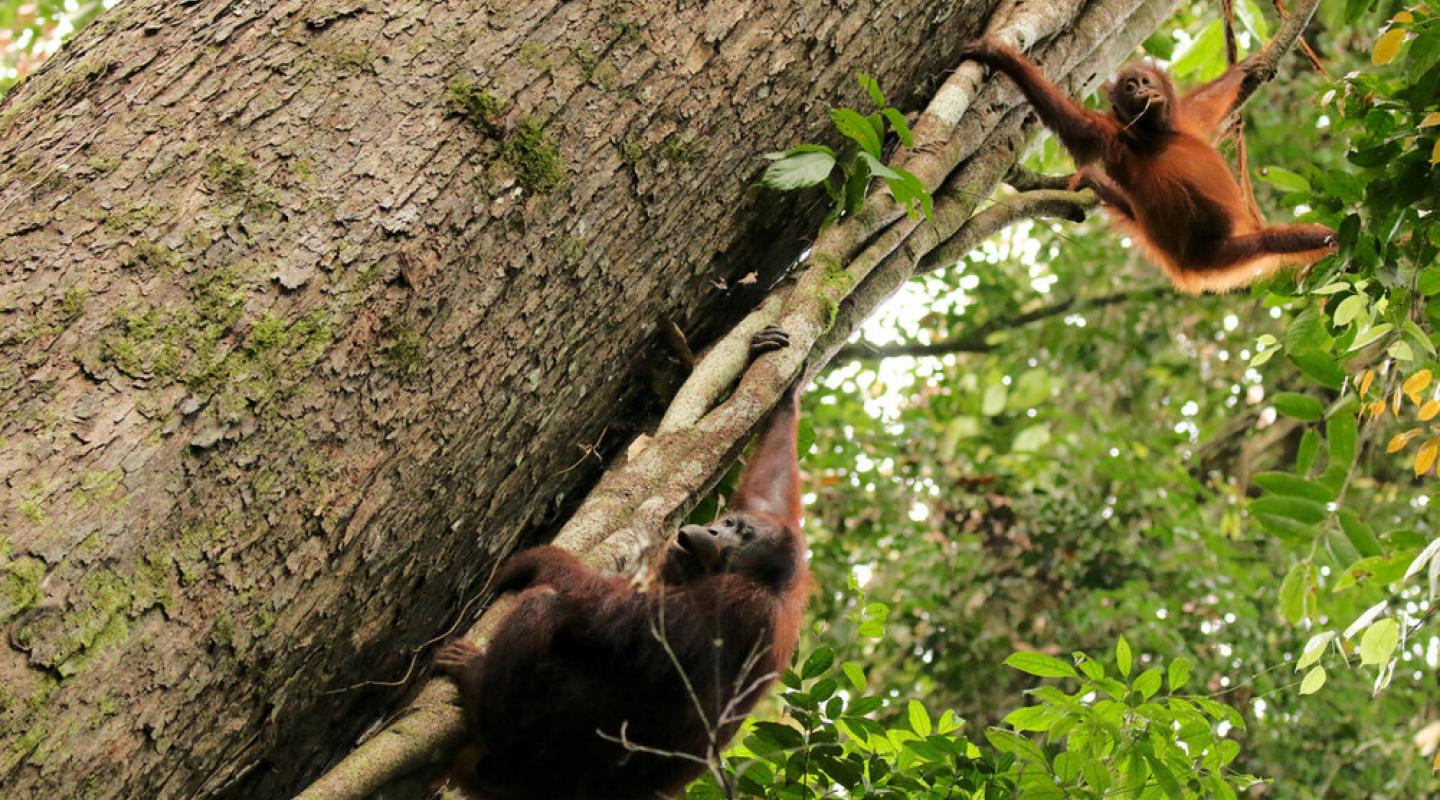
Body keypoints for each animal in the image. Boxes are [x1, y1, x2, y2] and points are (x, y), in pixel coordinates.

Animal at [433, 325, 809, 800]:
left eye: (737, 541)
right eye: (730, 523)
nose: (712, 533)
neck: (765, 585)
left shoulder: (731, 602)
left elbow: (608, 613)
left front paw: (541, 559)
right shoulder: (779, 535)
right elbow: (771, 485)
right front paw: (787, 383)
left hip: (538, 756)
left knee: (545, 608)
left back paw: (479, 691)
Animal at [957, 40, 1337, 294]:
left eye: (1144, 81)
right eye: (1130, 86)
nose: (1143, 90)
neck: (1154, 135)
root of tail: (1183, 267)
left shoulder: (1186, 120)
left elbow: (1206, 103)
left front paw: (1246, 66)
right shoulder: (1110, 135)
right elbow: (1074, 123)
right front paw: (1005, 60)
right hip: (1223, 252)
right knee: (1277, 241)